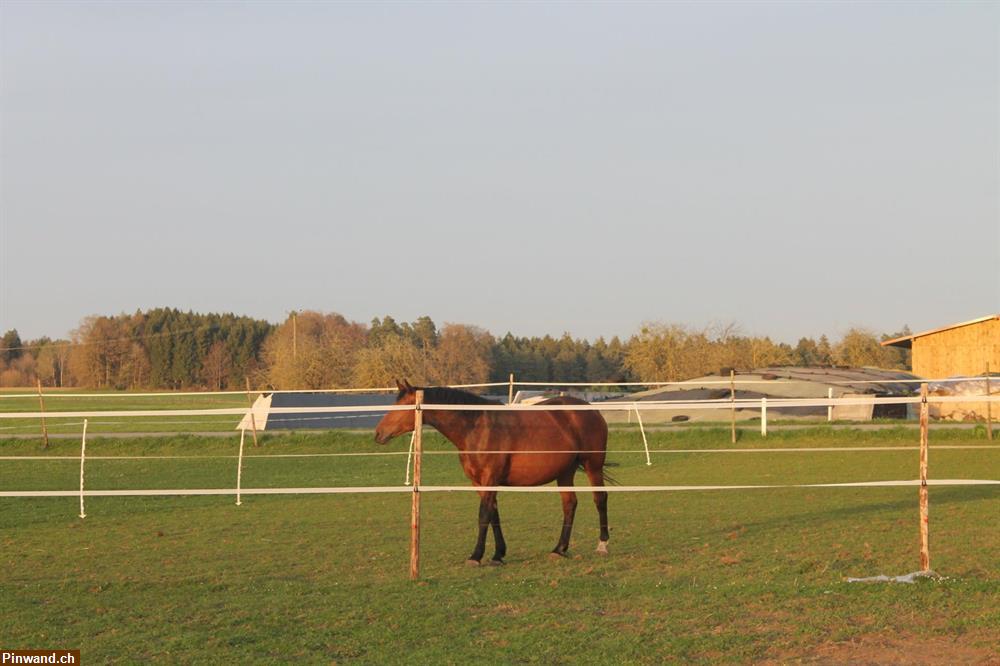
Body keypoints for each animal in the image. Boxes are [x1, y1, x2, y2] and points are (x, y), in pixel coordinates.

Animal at [376, 382, 608, 564]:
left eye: (404, 405)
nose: (378, 433)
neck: (477, 427)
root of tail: (593, 411)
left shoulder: (489, 479)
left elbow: (483, 515)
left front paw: (476, 556)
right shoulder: (479, 482)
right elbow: (493, 513)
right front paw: (498, 554)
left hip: (592, 466)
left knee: (600, 498)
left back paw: (602, 544)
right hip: (565, 472)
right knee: (570, 504)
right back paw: (559, 549)